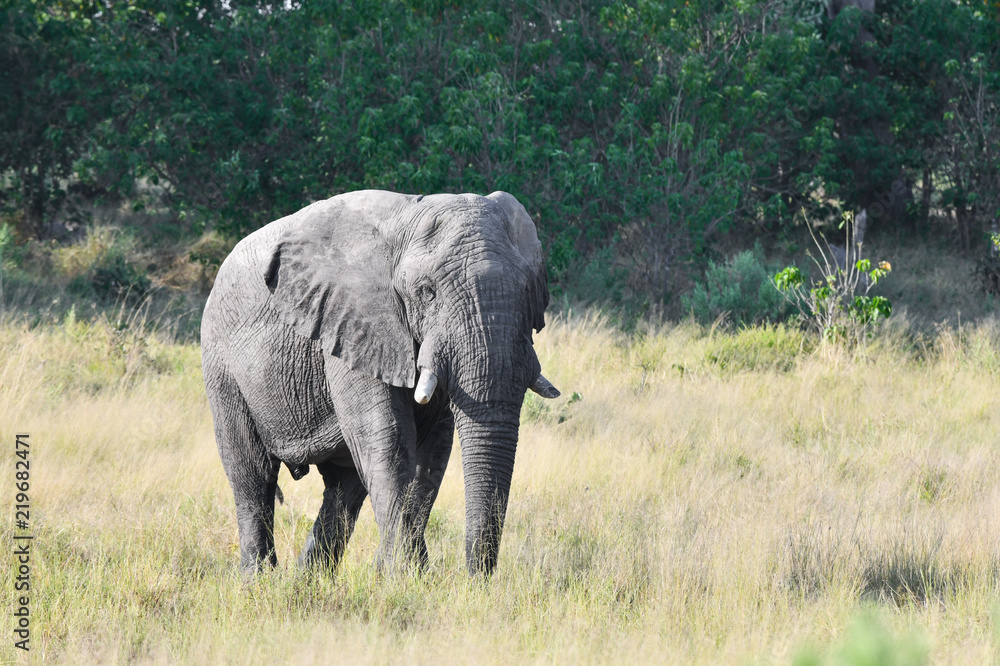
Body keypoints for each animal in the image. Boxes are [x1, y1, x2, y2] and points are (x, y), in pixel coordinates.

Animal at [201, 189, 560, 576]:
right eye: (426, 292)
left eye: (528, 292)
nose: (475, 581)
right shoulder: (352, 323)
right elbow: (388, 438)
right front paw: (407, 576)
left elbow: (433, 451)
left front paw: (399, 575)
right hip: (221, 364)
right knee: (253, 475)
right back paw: (260, 580)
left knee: (344, 487)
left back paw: (309, 580)